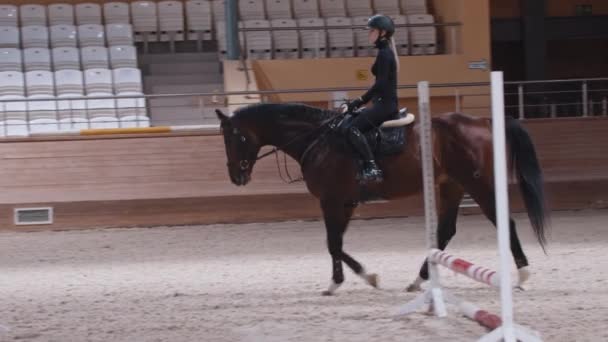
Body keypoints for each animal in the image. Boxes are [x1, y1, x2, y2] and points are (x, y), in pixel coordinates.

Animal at [216, 103, 548, 296]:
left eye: (235, 137)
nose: (236, 176)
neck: (319, 139)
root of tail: (485, 121)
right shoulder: (345, 202)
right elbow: (336, 243)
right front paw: (356, 278)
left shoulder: (331, 200)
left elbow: (332, 243)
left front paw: (351, 280)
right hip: (452, 186)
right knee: (445, 232)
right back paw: (418, 280)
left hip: (478, 184)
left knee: (504, 223)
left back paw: (523, 275)